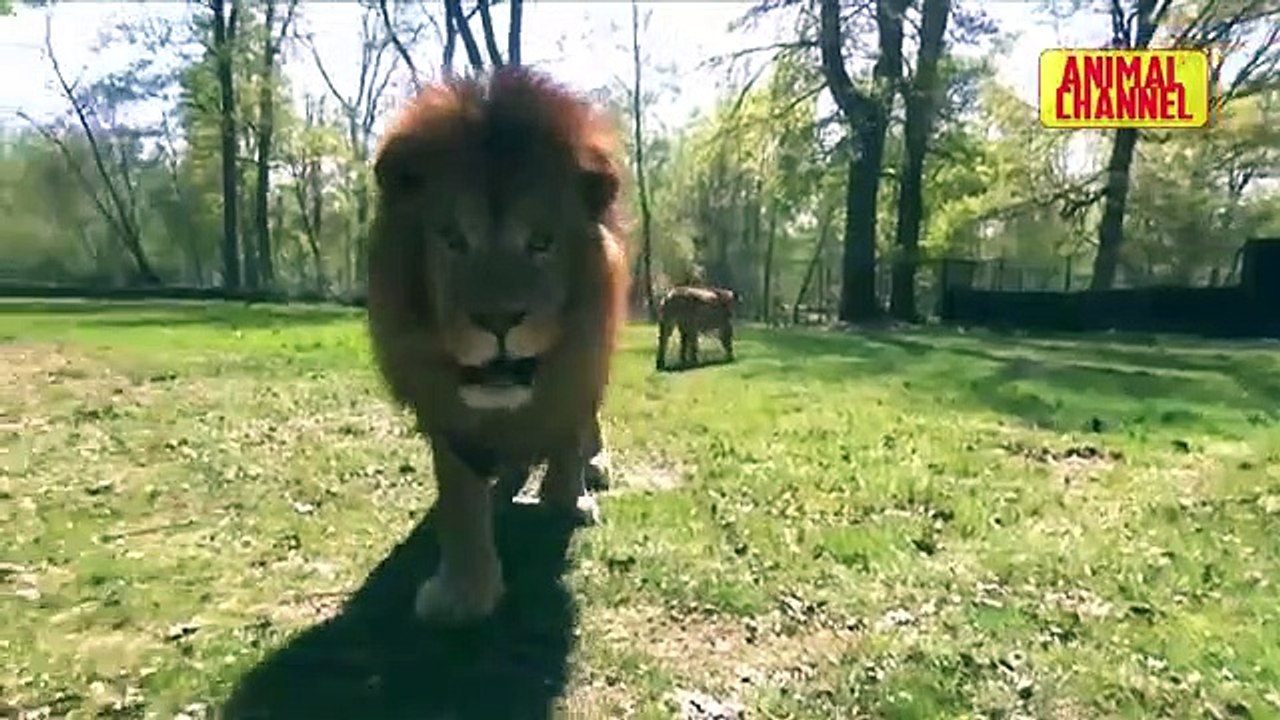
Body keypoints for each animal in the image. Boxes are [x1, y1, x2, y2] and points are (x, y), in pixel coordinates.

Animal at [364, 66, 630, 625]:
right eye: (451, 238)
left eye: (542, 242)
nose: (498, 319)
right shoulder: (448, 415)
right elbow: (460, 499)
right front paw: (463, 592)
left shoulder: (577, 371)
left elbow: (569, 438)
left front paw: (568, 498)